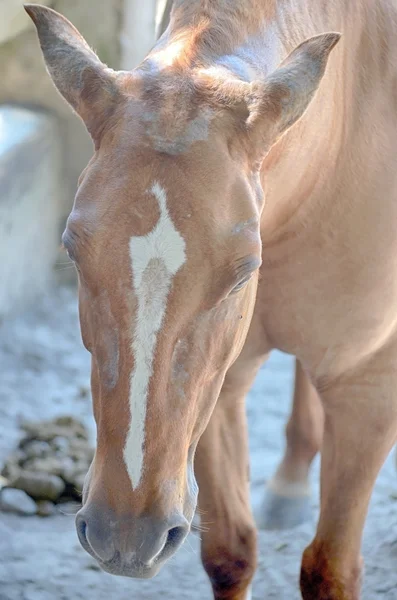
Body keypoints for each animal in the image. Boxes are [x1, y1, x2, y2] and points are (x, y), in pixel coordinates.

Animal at [27, 2, 396, 596]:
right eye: (72, 249)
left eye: (243, 272)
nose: (124, 536)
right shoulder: (222, 379)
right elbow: (230, 553)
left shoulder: (368, 388)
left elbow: (330, 569)